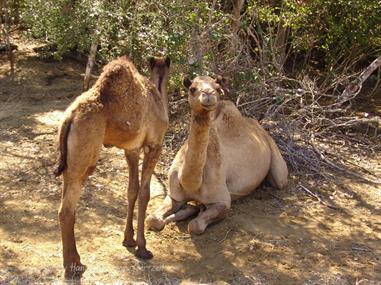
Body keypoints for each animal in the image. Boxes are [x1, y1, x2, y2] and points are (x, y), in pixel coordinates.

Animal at [54, 55, 170, 278]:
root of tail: (69, 118)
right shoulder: (154, 145)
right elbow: (145, 194)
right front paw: (143, 248)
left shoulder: (131, 150)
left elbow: (132, 190)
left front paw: (128, 239)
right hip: (85, 156)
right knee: (67, 209)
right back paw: (73, 266)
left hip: (70, 161)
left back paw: (73, 261)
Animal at [147, 74, 286, 234]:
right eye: (192, 88)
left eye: (218, 88)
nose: (208, 94)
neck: (193, 183)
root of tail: (256, 123)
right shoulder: (174, 194)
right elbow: (152, 219)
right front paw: (190, 209)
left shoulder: (222, 201)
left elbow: (195, 226)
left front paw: (196, 210)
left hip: (275, 157)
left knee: (280, 180)